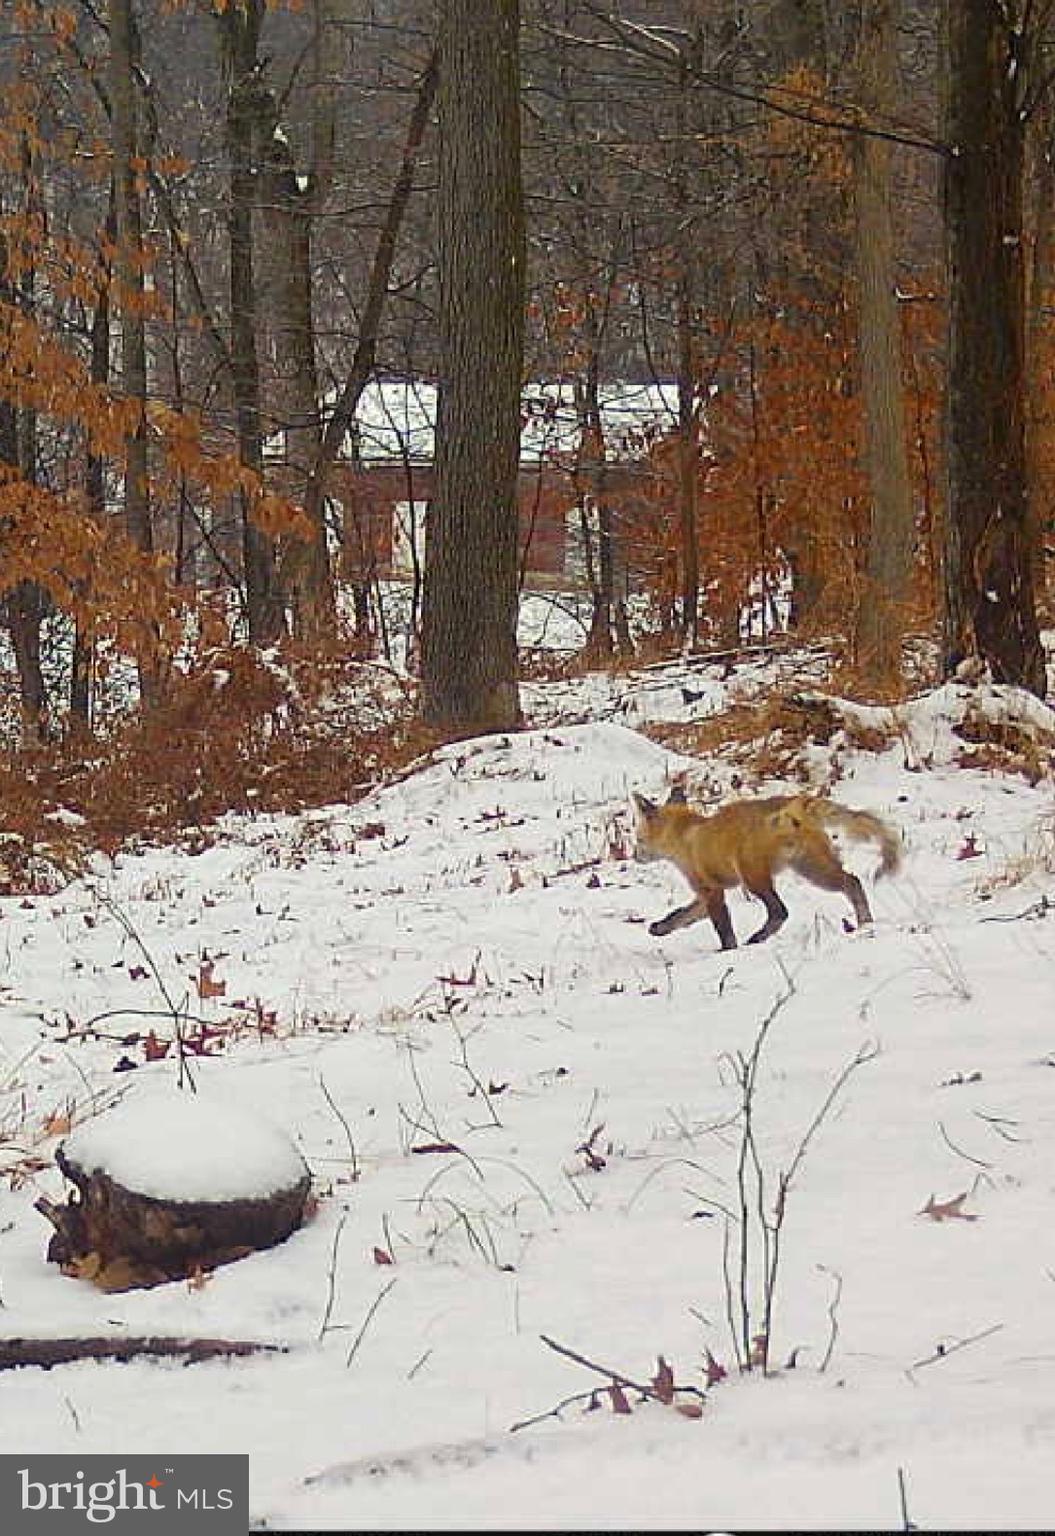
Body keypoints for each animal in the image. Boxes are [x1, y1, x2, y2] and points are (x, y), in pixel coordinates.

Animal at [631, 786, 901, 951]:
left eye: (637, 839)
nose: (634, 856)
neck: (686, 836)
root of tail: (792, 805)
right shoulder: (708, 892)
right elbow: (682, 916)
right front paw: (660, 928)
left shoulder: (711, 891)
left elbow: (723, 929)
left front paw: (728, 952)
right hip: (814, 871)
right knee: (852, 882)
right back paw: (865, 923)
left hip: (754, 878)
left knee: (780, 911)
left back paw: (756, 939)